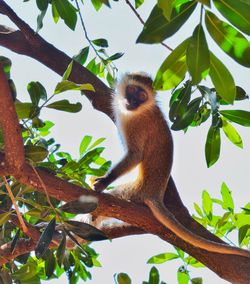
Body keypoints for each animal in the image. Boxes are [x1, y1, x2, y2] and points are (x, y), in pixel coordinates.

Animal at [93, 72, 250, 258]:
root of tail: (154, 194)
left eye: (141, 96)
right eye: (131, 90)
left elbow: (135, 155)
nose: (132, 102)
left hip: (133, 192)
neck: (142, 109)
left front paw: (104, 181)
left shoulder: (136, 125)